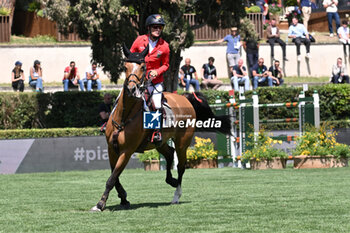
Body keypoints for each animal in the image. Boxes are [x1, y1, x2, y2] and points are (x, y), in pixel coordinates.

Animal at [90, 44, 231, 211]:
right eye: (125, 66)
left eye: (143, 67)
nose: (132, 89)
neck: (125, 116)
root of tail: (185, 97)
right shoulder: (112, 148)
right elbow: (115, 175)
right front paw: (123, 198)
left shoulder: (127, 151)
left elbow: (112, 178)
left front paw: (100, 204)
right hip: (160, 142)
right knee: (169, 153)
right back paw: (171, 180)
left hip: (182, 143)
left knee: (181, 166)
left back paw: (176, 195)